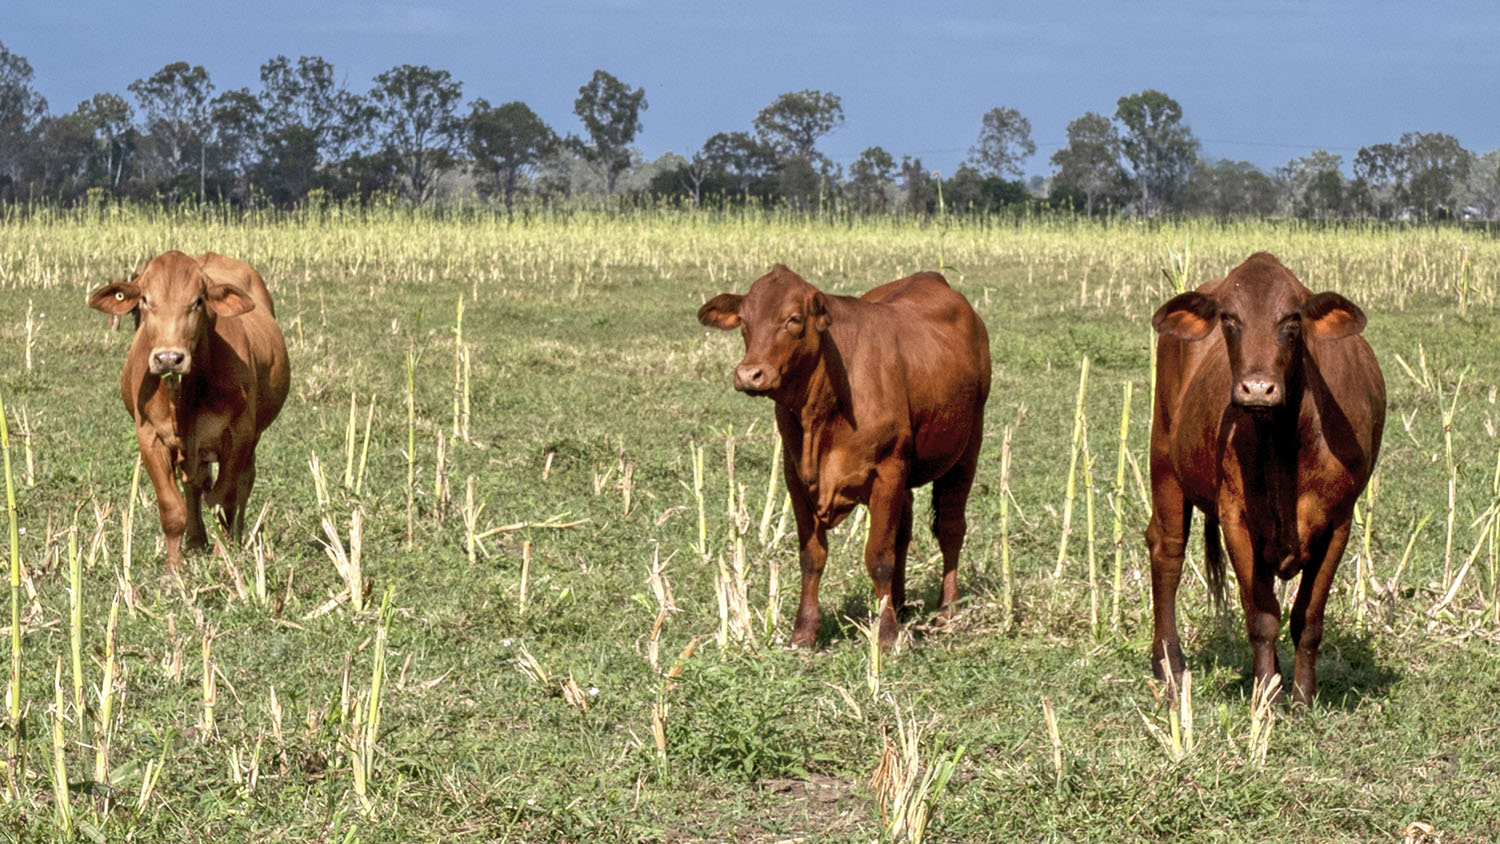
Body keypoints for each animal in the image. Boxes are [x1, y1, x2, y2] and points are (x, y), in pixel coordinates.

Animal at [87, 247, 289, 572]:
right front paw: (173, 569)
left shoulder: (239, 434)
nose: (169, 358)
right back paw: (195, 540)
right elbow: (172, 507)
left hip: (253, 435)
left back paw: (236, 536)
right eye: (145, 300)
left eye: (198, 302)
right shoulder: (149, 437)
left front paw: (223, 557)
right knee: (194, 485)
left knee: (244, 482)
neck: (186, 395)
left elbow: (224, 498)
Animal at [696, 263, 990, 647]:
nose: (750, 374)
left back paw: (946, 612)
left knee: (950, 529)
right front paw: (804, 633)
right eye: (744, 319)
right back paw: (899, 604)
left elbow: (879, 555)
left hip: (966, 450)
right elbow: (812, 556)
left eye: (793, 319)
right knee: (904, 532)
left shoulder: (887, 471)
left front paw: (887, 634)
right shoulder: (795, 476)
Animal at [1146, 250, 1380, 707]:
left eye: (1291, 319)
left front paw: (1302, 698)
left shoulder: (1339, 522)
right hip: (1163, 459)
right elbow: (1261, 616)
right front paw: (1265, 700)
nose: (1257, 388)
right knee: (1166, 551)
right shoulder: (1236, 519)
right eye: (1229, 318)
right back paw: (1169, 665)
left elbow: (1308, 616)